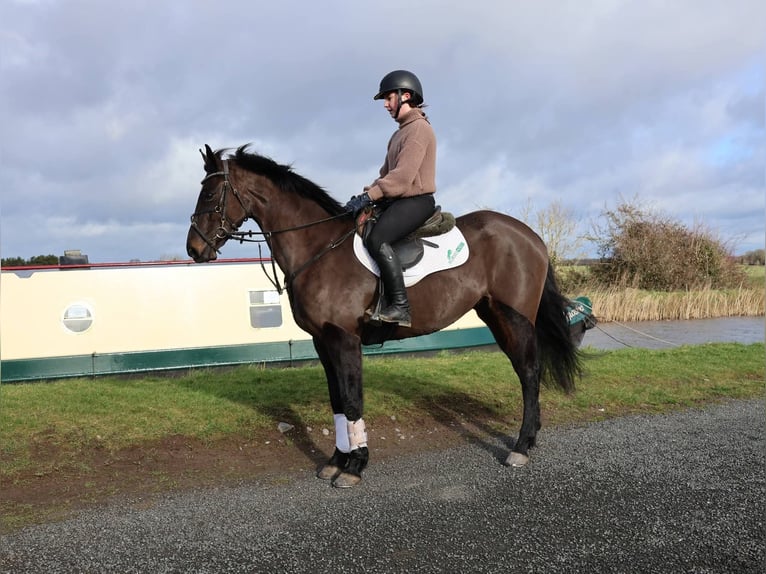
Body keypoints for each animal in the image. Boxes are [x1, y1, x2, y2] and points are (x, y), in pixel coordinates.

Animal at [186, 144, 580, 488]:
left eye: (210, 194)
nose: (194, 248)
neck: (318, 248)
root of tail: (530, 235)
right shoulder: (322, 341)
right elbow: (337, 401)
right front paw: (336, 461)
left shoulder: (345, 339)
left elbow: (352, 400)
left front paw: (355, 466)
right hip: (494, 314)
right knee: (525, 370)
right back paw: (528, 440)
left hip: (515, 317)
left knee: (529, 371)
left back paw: (520, 447)